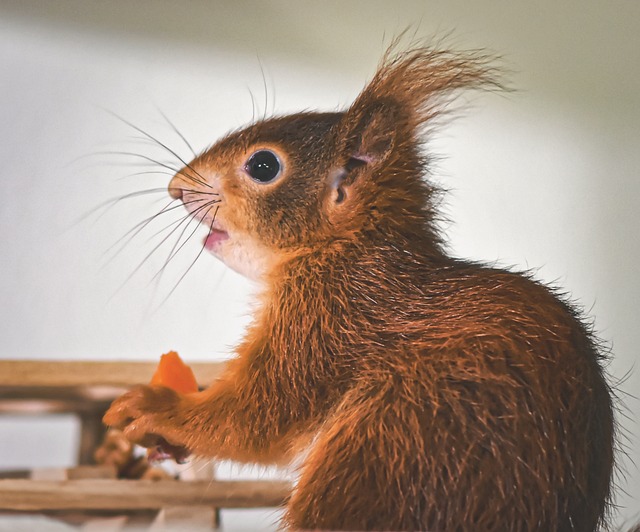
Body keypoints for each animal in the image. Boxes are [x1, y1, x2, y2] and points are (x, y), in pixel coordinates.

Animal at [104, 45, 616, 532]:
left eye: (264, 165)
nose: (175, 188)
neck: (348, 250)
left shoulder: (329, 318)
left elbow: (260, 415)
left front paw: (158, 408)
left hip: (385, 452)